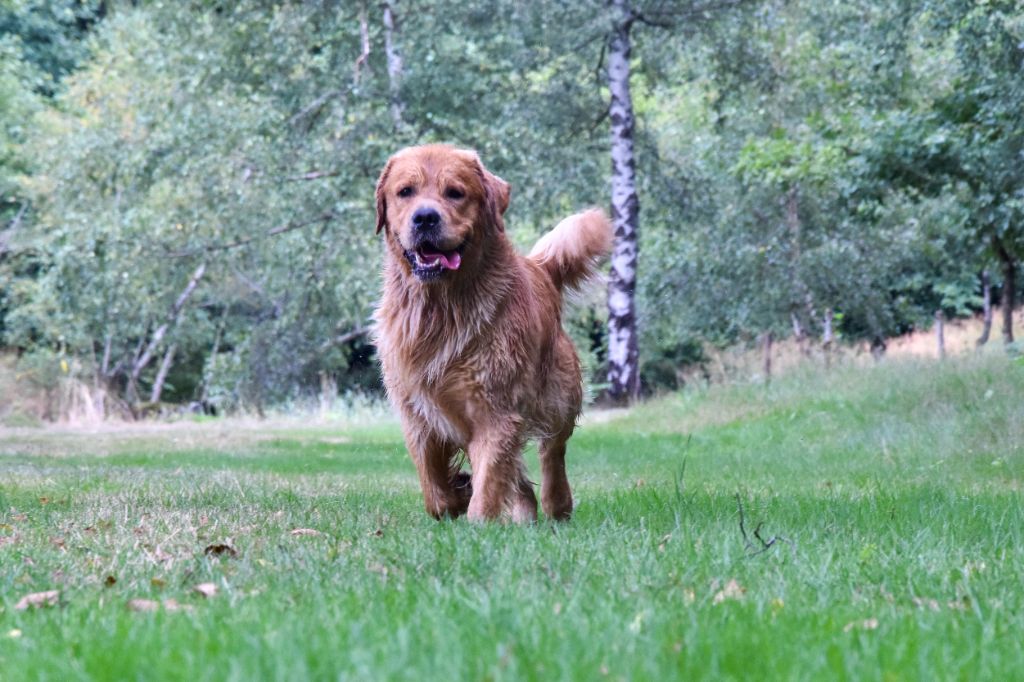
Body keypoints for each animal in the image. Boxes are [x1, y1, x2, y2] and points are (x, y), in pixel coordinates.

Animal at [376, 142, 610, 516]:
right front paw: (458, 491)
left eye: (455, 192)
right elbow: (436, 491)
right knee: (520, 479)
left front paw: (477, 515)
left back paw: (557, 504)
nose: (425, 217)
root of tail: (540, 268)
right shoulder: (416, 412)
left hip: (558, 396)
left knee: (552, 452)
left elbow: (488, 487)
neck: (442, 307)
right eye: (405, 192)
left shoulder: (495, 411)